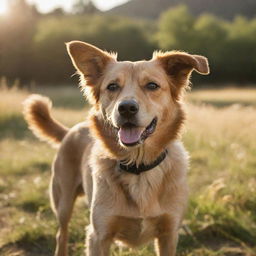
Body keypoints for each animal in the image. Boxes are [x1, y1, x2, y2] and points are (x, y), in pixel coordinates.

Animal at [23, 41, 209, 255]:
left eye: (152, 85)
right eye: (112, 86)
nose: (126, 108)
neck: (138, 166)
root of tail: (72, 130)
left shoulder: (169, 234)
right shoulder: (98, 236)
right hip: (63, 202)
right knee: (62, 234)